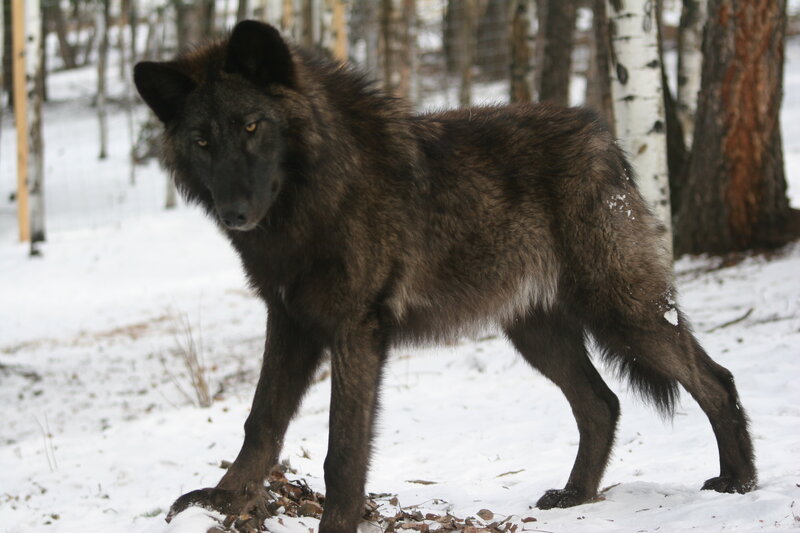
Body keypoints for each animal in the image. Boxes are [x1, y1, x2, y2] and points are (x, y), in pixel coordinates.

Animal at [134, 20, 756, 533]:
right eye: (202, 140)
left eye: (252, 126)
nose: (234, 211)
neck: (319, 195)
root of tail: (602, 136)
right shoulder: (289, 323)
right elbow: (260, 422)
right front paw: (220, 503)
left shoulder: (356, 331)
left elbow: (343, 450)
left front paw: (333, 523)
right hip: (538, 334)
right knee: (602, 404)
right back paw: (576, 496)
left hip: (622, 313)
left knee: (716, 379)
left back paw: (739, 482)